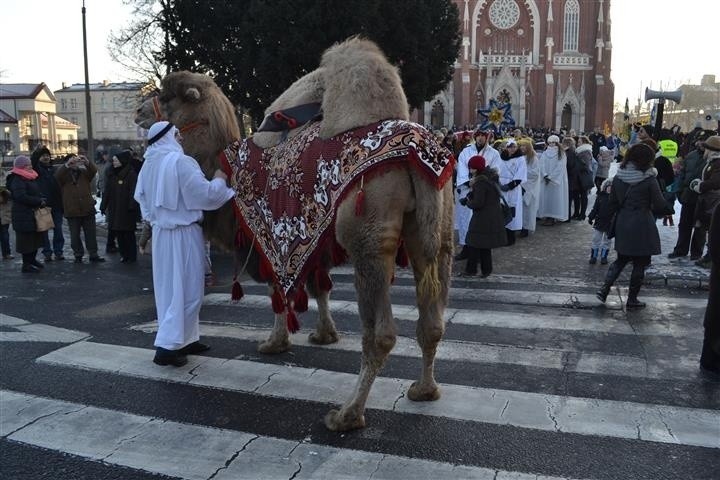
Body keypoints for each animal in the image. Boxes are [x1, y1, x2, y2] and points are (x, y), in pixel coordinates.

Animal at [134, 35, 456, 430]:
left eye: (167, 97)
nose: (138, 112)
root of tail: (417, 153)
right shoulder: (311, 240)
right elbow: (319, 286)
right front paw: (324, 334)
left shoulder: (271, 234)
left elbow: (278, 289)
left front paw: (275, 343)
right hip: (435, 237)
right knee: (432, 321)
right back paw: (424, 390)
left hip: (369, 241)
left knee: (379, 335)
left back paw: (347, 414)